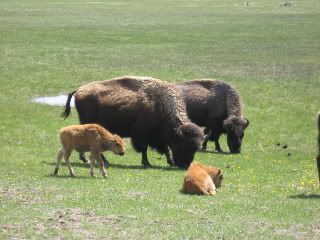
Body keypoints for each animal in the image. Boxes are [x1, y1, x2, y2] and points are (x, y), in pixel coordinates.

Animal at [61, 75, 204, 169]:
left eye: (195, 148)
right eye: (183, 145)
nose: (185, 165)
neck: (161, 105)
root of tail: (79, 90)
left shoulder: (159, 137)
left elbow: (165, 149)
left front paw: (169, 162)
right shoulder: (142, 135)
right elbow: (144, 149)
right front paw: (147, 163)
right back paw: (103, 162)